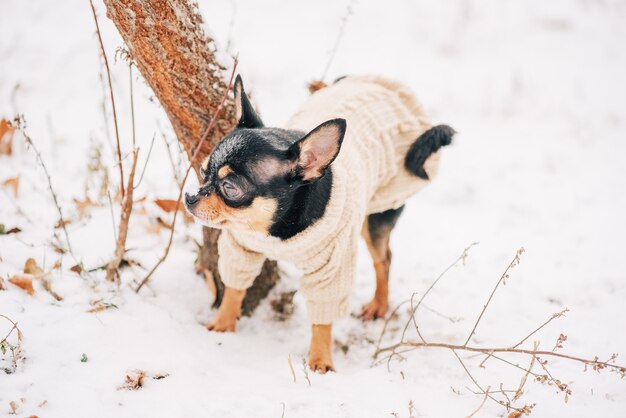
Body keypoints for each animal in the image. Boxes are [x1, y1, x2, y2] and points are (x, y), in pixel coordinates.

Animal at [185, 75, 454, 372]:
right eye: (203, 171)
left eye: (230, 188)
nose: (190, 197)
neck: (276, 230)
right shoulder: (240, 247)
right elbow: (234, 289)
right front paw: (222, 325)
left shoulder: (331, 270)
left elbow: (323, 321)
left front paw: (320, 360)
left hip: (378, 213)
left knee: (383, 258)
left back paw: (379, 305)